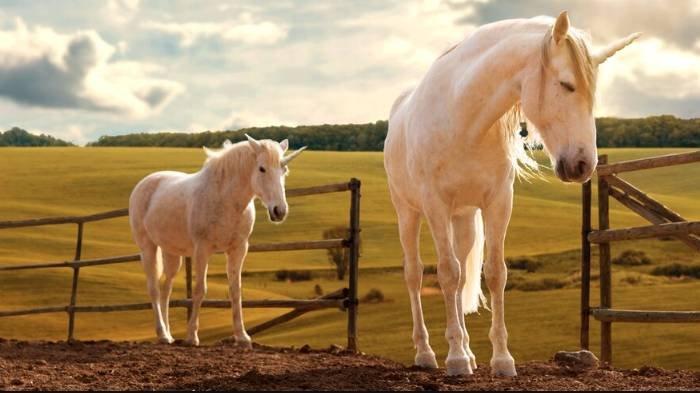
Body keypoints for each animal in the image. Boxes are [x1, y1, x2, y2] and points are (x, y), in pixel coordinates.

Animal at [131, 135, 306, 346]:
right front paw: (192, 337)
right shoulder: (202, 250)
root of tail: (145, 183)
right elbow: (200, 290)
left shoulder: (238, 249)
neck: (226, 200)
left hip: (171, 252)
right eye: (262, 168)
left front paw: (242, 337)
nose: (279, 211)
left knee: (166, 289)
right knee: (154, 290)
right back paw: (163, 335)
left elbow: (235, 291)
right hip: (148, 247)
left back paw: (169, 335)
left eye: (284, 170)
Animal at [382, 10, 640, 376]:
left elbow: (493, 273)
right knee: (415, 275)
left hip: (463, 218)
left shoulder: (498, 203)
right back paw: (427, 353)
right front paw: (455, 359)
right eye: (566, 84)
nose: (583, 165)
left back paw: (467, 351)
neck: (463, 119)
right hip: (409, 212)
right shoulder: (434, 205)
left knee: (462, 275)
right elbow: (446, 273)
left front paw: (501, 359)